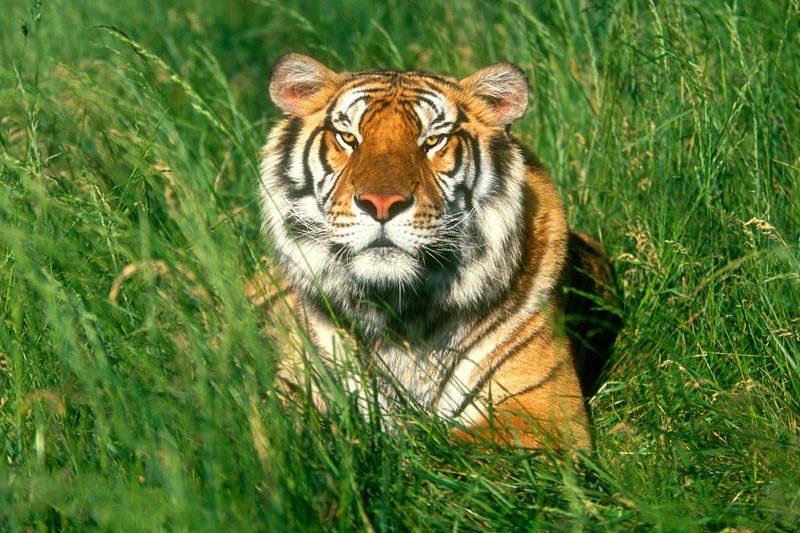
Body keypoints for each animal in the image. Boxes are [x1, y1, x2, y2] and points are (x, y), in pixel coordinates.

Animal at [256, 53, 620, 449]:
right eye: (348, 137)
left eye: (432, 141)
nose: (381, 204)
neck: (398, 311)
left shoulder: (542, 412)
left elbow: (441, 451)